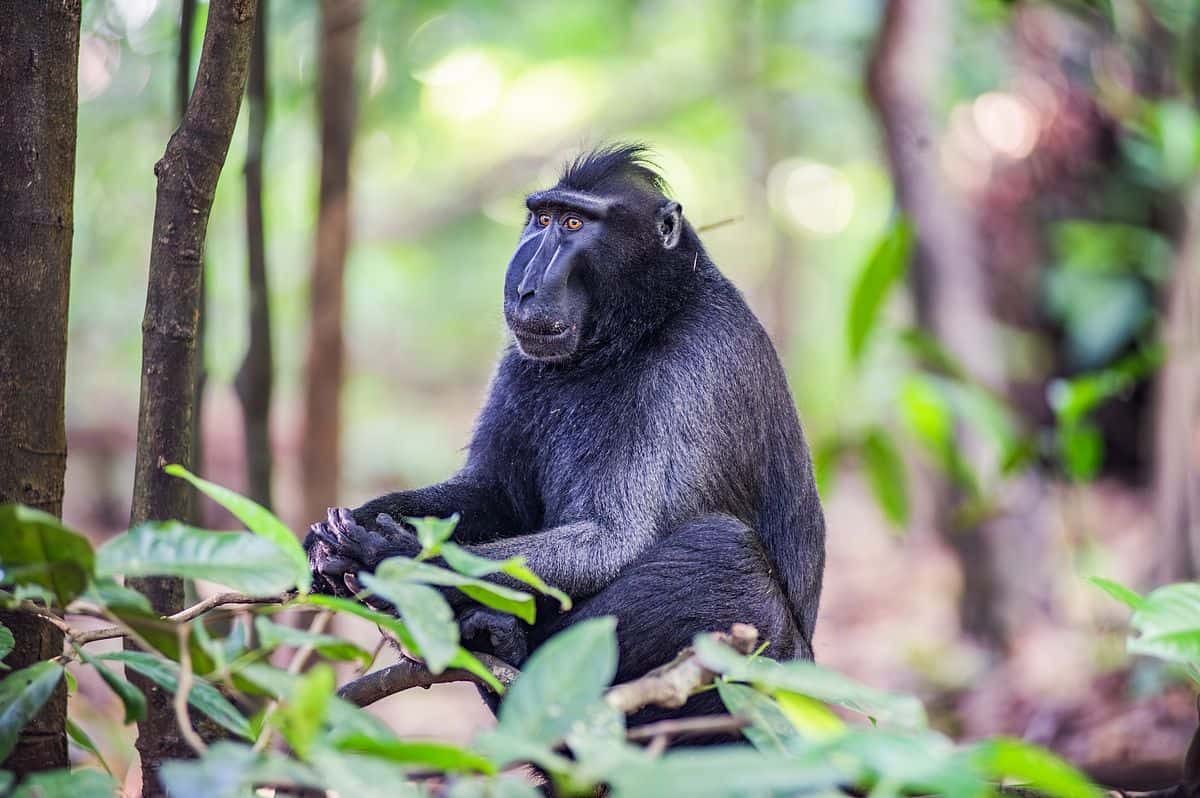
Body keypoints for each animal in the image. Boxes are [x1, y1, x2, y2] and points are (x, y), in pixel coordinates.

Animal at [306, 144, 825, 723]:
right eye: (542, 218)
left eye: (575, 223)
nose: (524, 287)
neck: (635, 329)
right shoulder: (521, 363)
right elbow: (494, 492)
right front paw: (341, 532)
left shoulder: (693, 362)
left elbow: (614, 541)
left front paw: (399, 561)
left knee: (727, 558)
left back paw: (508, 645)